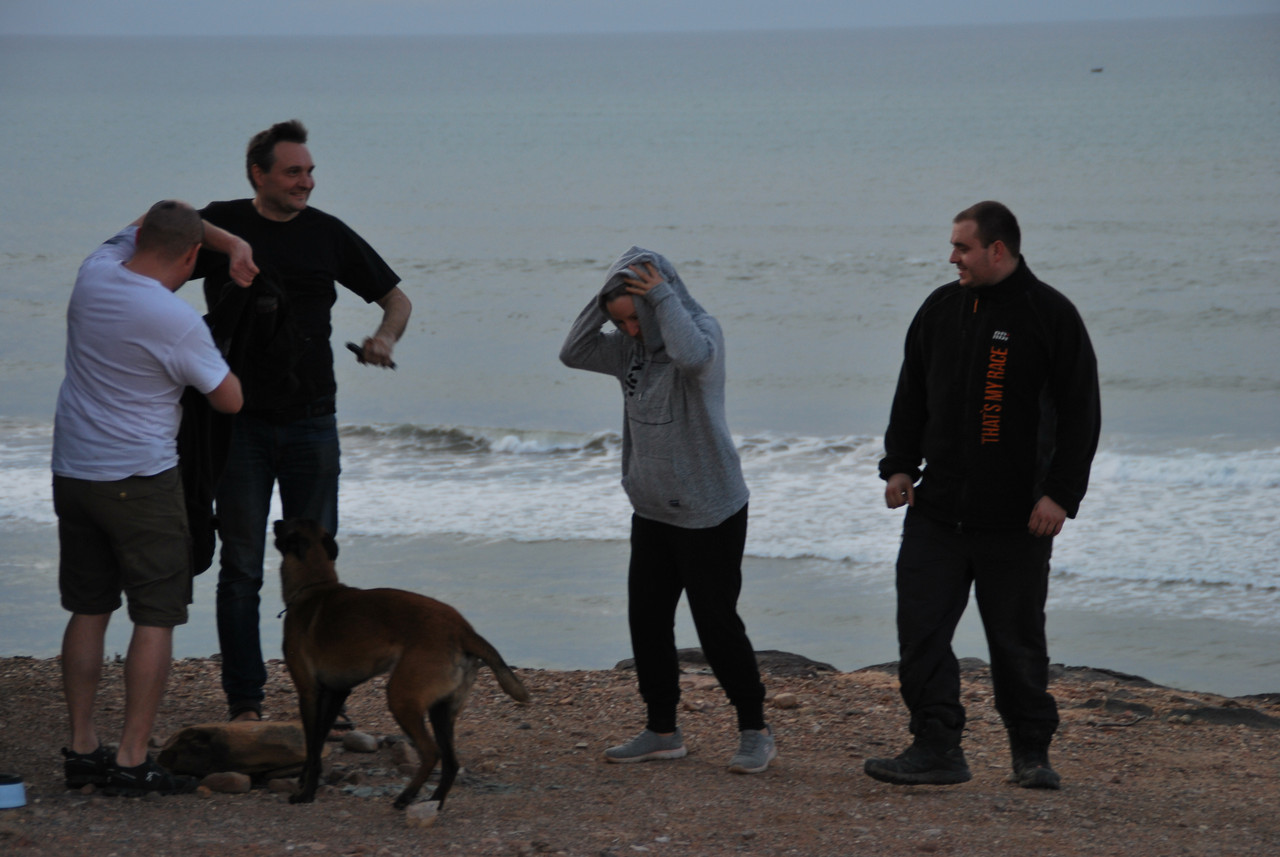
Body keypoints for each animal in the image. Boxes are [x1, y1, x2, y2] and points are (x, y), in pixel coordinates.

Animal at [272, 518, 530, 809]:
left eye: (286, 524)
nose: (275, 520)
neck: (315, 586)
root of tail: (463, 630)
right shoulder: (336, 692)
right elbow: (318, 741)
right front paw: (306, 781)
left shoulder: (309, 693)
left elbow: (313, 746)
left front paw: (306, 793)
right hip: (442, 710)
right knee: (451, 762)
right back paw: (434, 801)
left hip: (401, 698)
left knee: (431, 753)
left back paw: (406, 796)